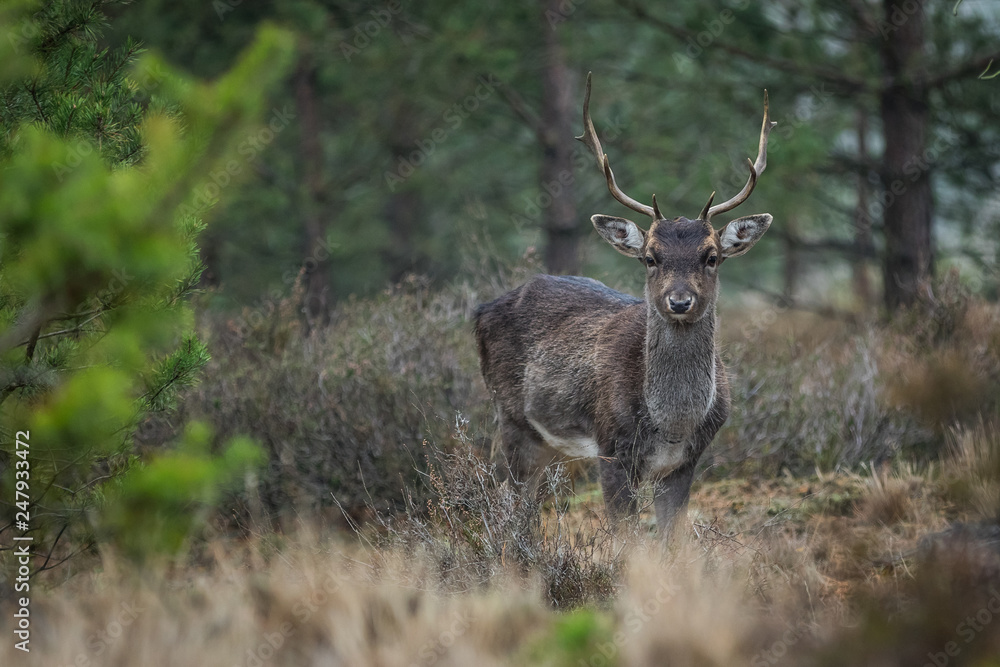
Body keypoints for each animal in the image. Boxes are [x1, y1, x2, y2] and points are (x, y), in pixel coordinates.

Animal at [474, 73, 776, 538]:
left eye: (711, 256)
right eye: (650, 257)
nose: (679, 300)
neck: (672, 425)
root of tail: (480, 311)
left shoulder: (687, 462)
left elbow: (670, 540)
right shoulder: (612, 449)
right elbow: (626, 538)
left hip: (546, 441)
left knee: (528, 507)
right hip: (509, 417)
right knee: (507, 501)